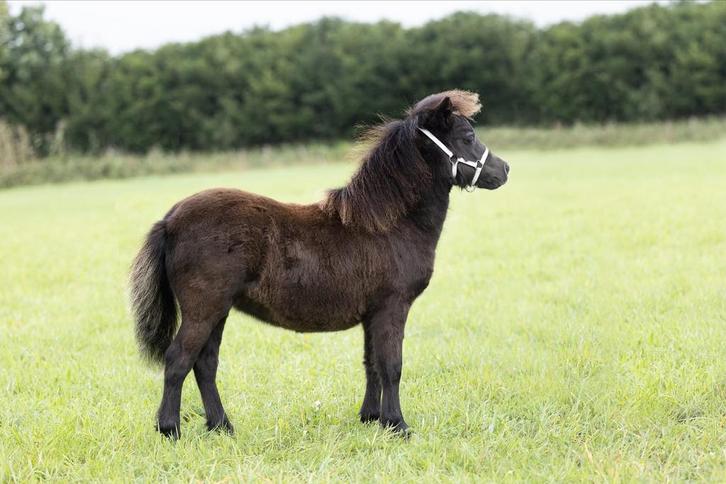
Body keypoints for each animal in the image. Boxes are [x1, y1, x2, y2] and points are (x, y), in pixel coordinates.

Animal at [129, 90, 509, 439]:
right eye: (468, 137)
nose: (504, 169)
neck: (388, 223)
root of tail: (170, 220)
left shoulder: (373, 313)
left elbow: (372, 364)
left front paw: (372, 417)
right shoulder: (393, 306)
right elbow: (392, 366)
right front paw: (398, 425)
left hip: (218, 310)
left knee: (205, 363)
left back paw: (222, 426)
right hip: (203, 309)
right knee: (178, 359)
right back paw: (170, 429)